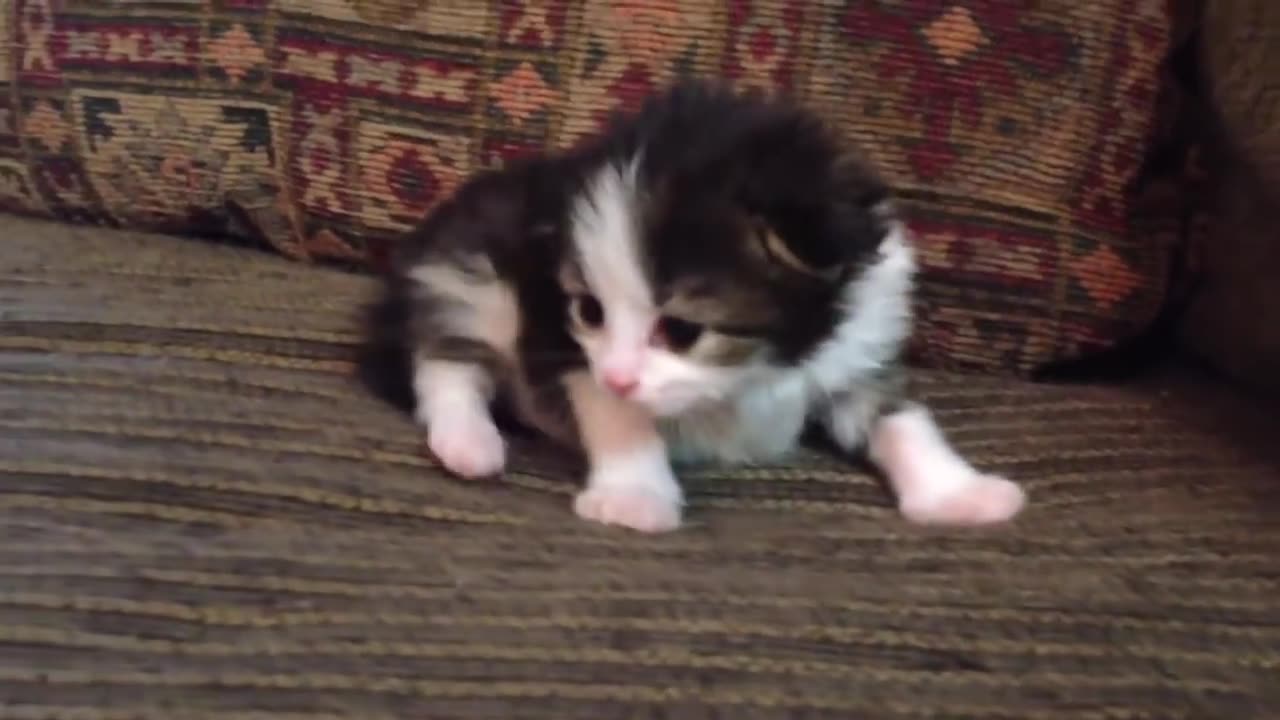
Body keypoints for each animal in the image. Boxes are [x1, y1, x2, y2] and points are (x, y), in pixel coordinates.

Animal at [360, 78, 1029, 530]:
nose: (621, 376)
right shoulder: (559, 340)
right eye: (590, 311)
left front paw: (957, 495)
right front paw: (634, 497)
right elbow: (618, 414)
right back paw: (469, 442)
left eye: (681, 329)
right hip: (474, 274)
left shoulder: (860, 346)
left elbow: (903, 419)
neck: (758, 371)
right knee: (445, 360)